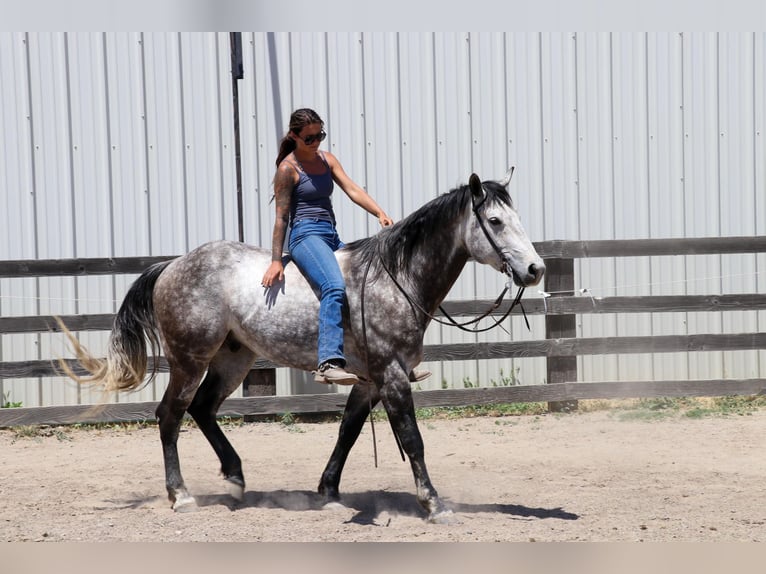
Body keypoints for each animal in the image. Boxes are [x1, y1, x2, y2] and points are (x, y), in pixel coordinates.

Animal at [61, 168, 545, 522]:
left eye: (519, 219)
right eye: (496, 222)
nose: (535, 269)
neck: (395, 278)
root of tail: (172, 265)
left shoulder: (368, 380)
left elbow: (348, 432)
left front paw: (328, 492)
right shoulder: (390, 376)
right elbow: (412, 438)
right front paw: (434, 503)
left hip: (233, 360)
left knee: (202, 409)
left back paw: (235, 480)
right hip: (189, 359)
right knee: (170, 416)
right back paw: (181, 496)